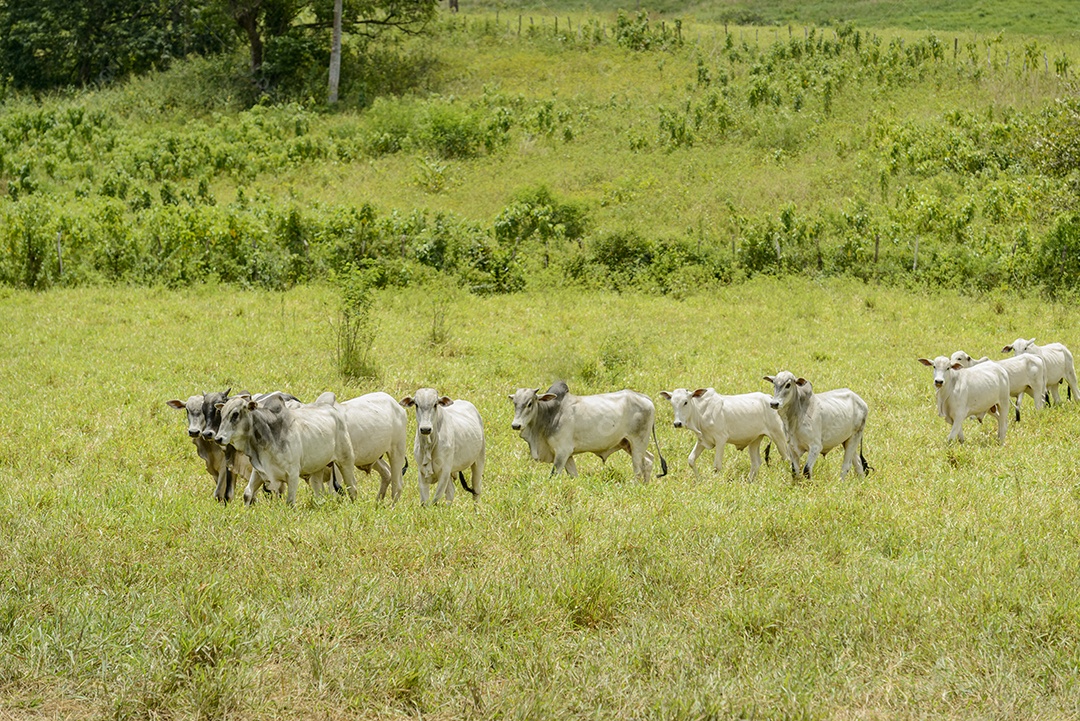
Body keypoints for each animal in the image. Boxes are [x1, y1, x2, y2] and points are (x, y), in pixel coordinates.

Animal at [214, 390, 358, 505]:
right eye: (221, 414)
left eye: (235, 414)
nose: (218, 439)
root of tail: (332, 408)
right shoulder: (260, 470)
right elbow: (247, 493)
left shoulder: (293, 473)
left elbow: (289, 502)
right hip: (318, 467)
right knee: (319, 491)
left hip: (345, 461)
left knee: (352, 487)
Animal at [507, 382, 665, 483]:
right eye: (515, 403)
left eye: (530, 403)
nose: (516, 425)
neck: (551, 413)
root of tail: (645, 398)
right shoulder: (568, 455)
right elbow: (573, 476)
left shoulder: (562, 452)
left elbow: (553, 476)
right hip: (628, 444)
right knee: (649, 460)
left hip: (638, 443)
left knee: (638, 469)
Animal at [656, 386, 786, 481]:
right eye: (672, 403)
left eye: (685, 402)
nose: (677, 423)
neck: (700, 412)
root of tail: (770, 399)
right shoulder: (702, 440)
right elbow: (691, 460)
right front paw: (699, 480)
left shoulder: (721, 439)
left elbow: (717, 465)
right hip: (755, 440)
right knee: (756, 463)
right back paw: (749, 481)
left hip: (779, 436)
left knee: (787, 457)